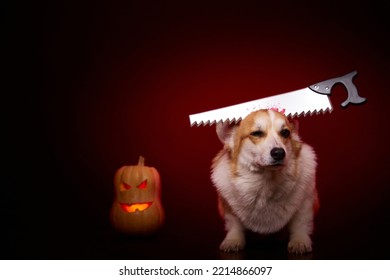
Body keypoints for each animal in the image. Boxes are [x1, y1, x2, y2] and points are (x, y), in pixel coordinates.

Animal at [210, 109, 316, 254]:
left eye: (285, 133)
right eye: (257, 133)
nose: (279, 153)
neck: (266, 182)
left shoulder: (305, 201)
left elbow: (300, 223)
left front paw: (299, 241)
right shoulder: (228, 206)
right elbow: (234, 224)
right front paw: (233, 240)